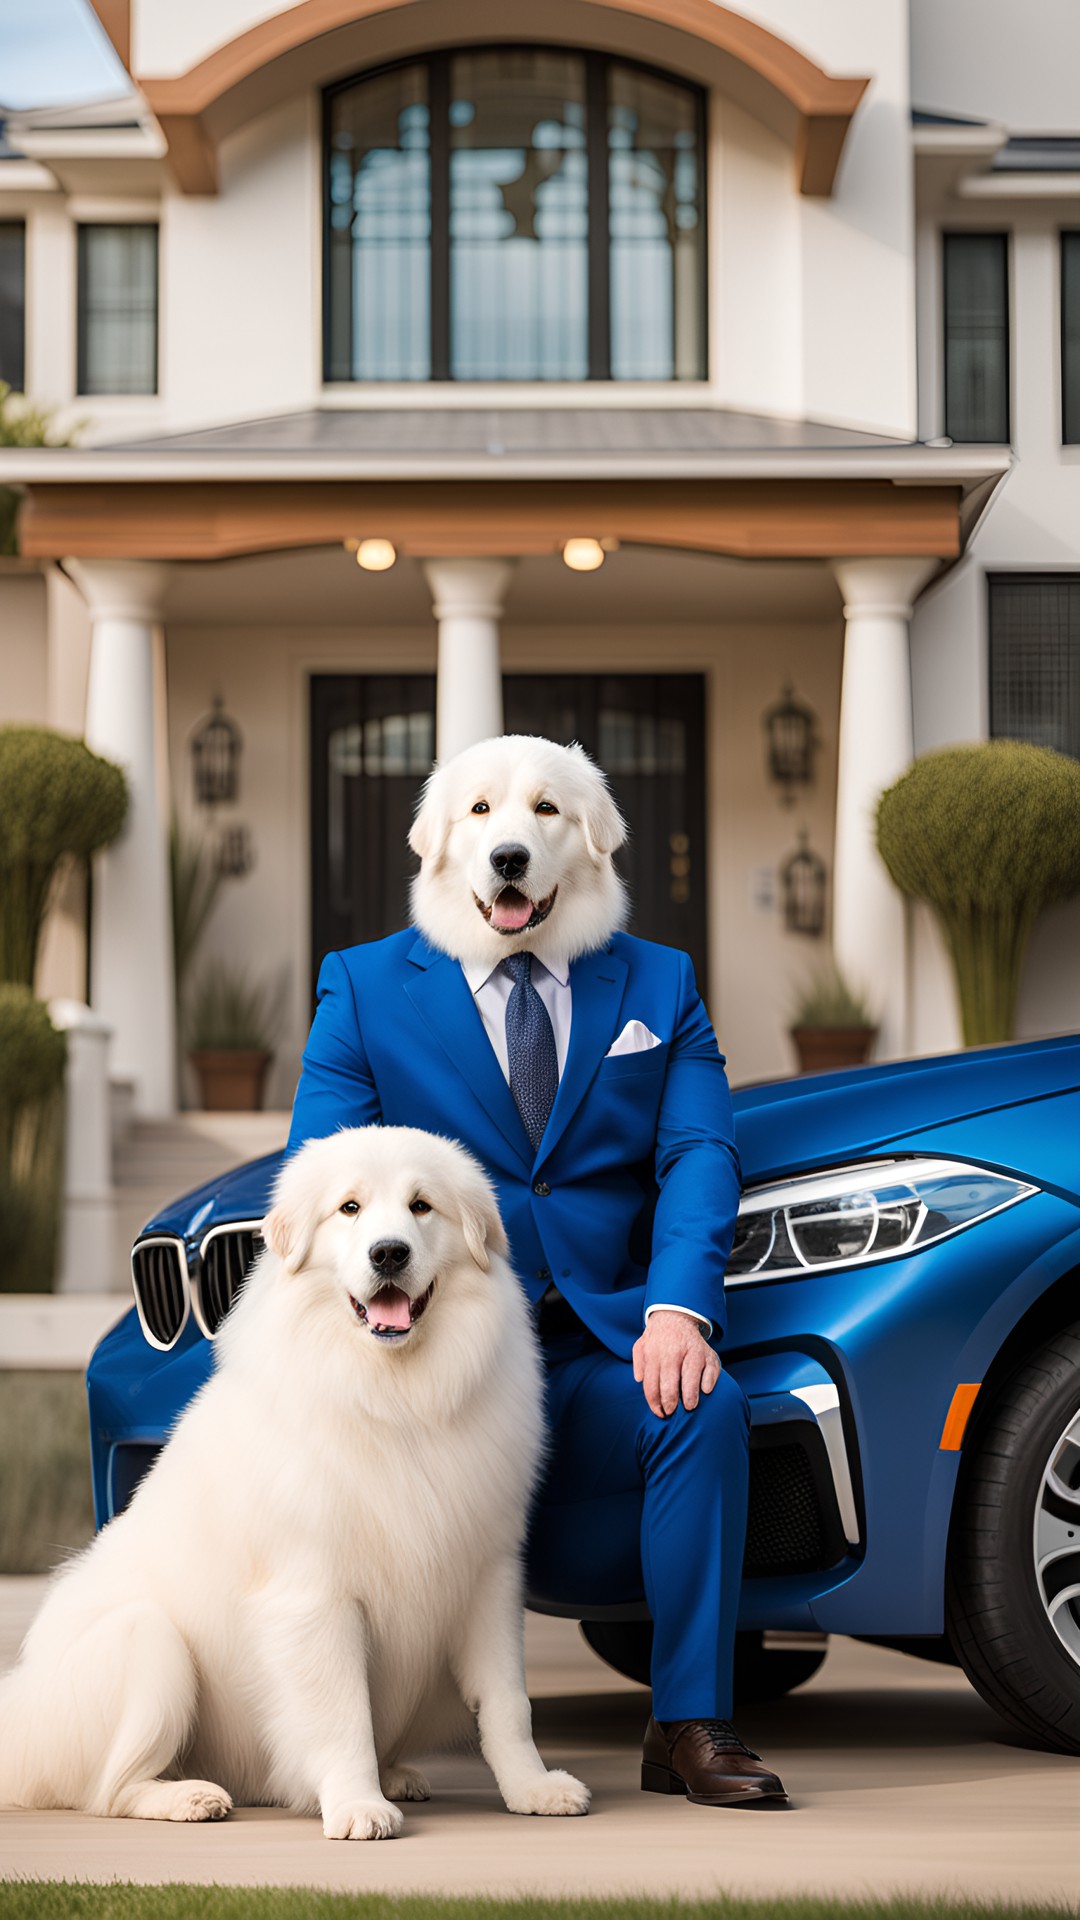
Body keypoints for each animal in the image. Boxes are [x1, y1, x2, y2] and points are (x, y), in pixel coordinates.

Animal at [0, 1128, 588, 1835]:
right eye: (349, 1209)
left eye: (421, 1206)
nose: (388, 1253)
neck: (394, 1399)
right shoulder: (314, 1595)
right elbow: (341, 1715)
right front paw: (358, 1805)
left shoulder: (487, 1578)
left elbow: (508, 1705)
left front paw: (533, 1788)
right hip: (150, 1641)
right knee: (110, 1789)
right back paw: (189, 1797)